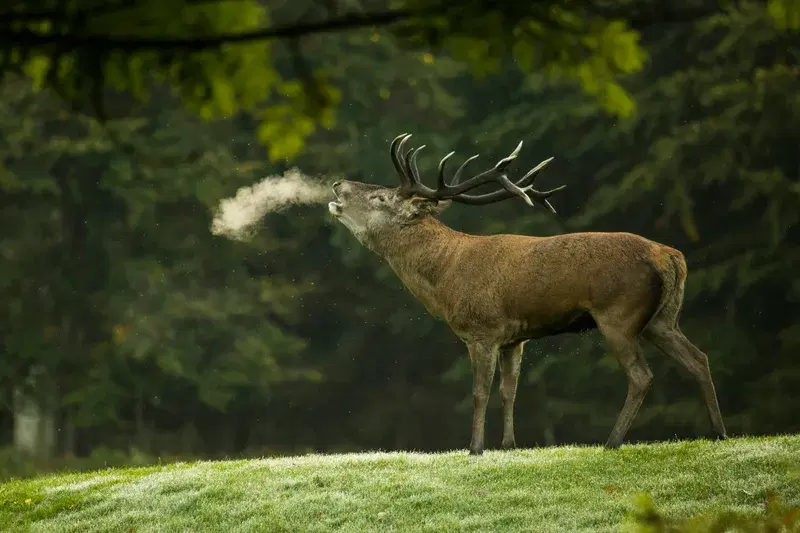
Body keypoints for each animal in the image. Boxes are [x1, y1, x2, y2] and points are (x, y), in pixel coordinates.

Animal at [328, 132, 728, 454]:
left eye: (380, 197)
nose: (337, 185)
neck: (445, 279)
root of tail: (671, 257)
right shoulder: (514, 338)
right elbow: (510, 391)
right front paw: (509, 444)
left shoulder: (482, 330)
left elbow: (480, 392)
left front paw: (475, 448)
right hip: (662, 318)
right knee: (698, 358)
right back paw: (719, 432)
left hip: (619, 314)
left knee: (641, 376)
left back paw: (612, 442)